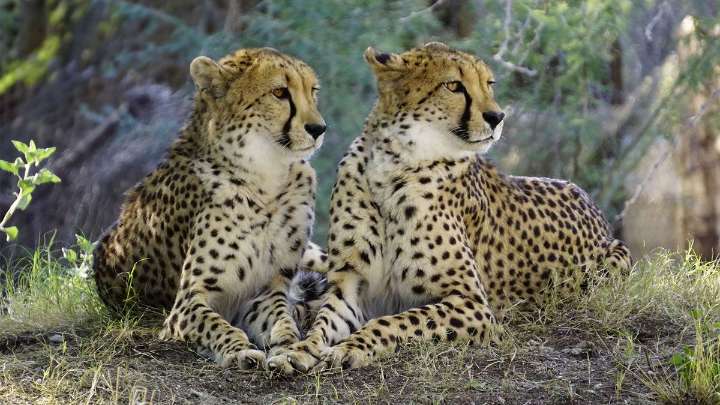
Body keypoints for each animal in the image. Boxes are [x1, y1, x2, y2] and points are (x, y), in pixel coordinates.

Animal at [93, 47, 329, 369]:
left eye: (313, 91)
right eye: (280, 92)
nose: (318, 128)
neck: (266, 178)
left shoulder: (265, 292)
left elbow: (283, 321)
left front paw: (290, 347)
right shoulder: (187, 303)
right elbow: (216, 325)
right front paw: (239, 350)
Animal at [267, 42, 632, 373]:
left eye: (489, 83)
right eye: (454, 85)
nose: (497, 117)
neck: (393, 164)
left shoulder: (472, 303)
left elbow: (397, 321)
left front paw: (352, 347)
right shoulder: (350, 283)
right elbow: (324, 322)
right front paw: (298, 350)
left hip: (614, 260)